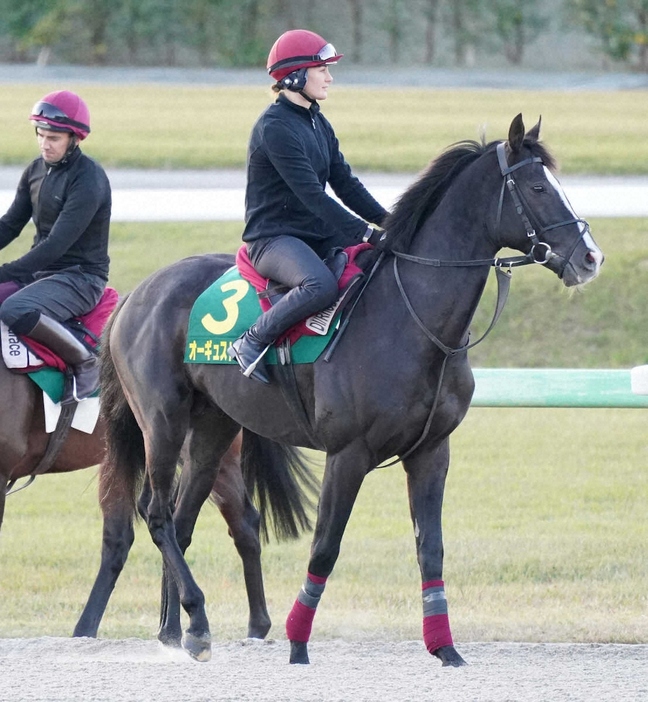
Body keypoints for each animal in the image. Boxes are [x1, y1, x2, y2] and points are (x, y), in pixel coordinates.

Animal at [91, 117, 604, 672]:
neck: (410, 316)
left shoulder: (431, 452)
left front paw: (445, 647)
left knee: (181, 521)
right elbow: (325, 548)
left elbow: (431, 549)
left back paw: (181, 632)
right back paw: (195, 619)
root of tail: (138, 294)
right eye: (537, 187)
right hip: (163, 422)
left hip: (212, 429)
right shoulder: (348, 454)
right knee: (158, 513)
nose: (590, 257)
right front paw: (297, 643)